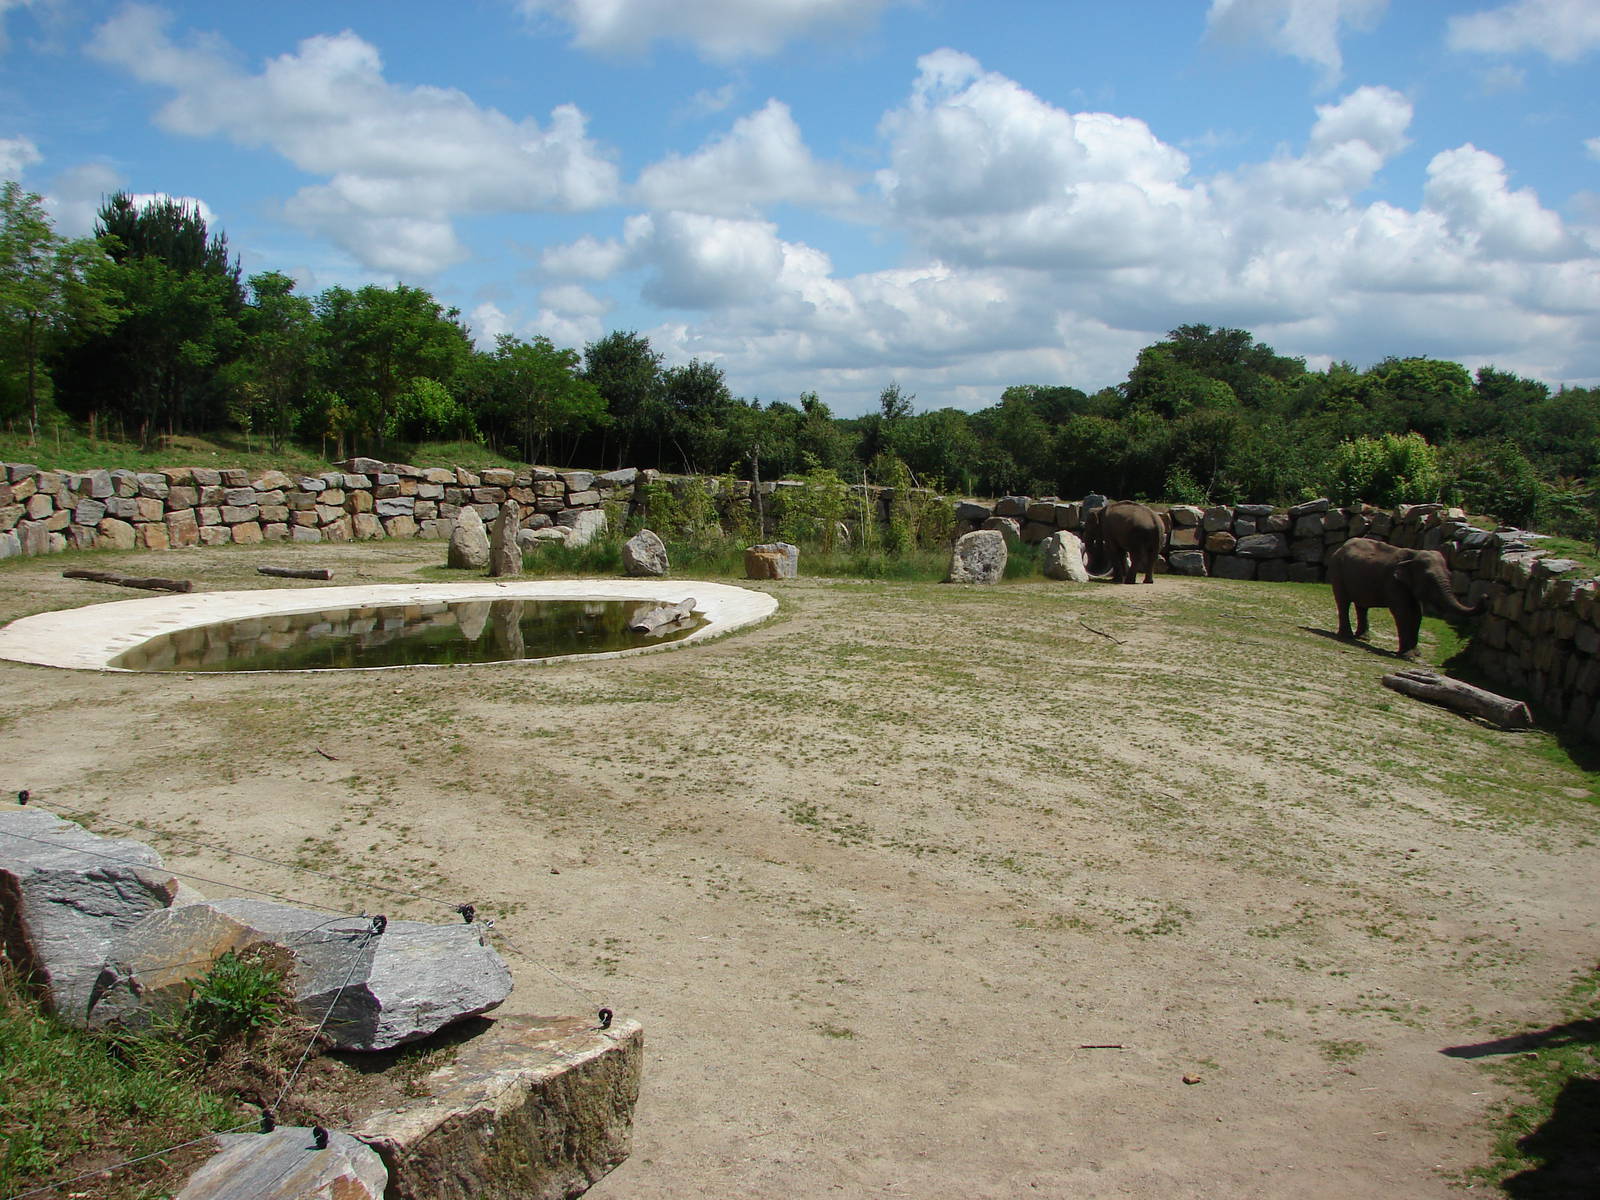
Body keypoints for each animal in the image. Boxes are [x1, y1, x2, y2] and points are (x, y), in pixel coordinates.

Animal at [1325, 537, 1486, 657]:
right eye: (1429, 579)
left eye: (1450, 575)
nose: (1485, 595)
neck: (1414, 555)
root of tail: (1342, 546)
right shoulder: (1393, 582)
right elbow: (1403, 613)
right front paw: (1407, 655)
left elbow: (1417, 614)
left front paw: (1416, 654)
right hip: (1337, 570)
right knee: (1343, 602)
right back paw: (1347, 636)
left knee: (1362, 606)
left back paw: (1364, 638)